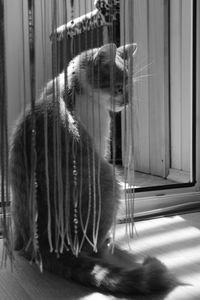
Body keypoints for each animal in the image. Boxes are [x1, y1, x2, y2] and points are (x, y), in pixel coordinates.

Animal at [9, 43, 177, 294]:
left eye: (129, 86)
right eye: (119, 88)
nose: (127, 102)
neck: (70, 89)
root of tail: (45, 245)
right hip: (110, 180)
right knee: (92, 247)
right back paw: (105, 242)